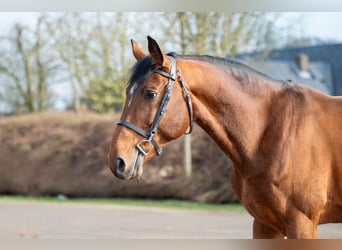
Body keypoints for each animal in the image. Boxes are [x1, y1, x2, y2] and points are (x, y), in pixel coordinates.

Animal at [108, 35, 342, 238]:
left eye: (150, 94)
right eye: (127, 92)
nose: (117, 160)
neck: (271, 130)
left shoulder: (301, 223)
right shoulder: (265, 224)